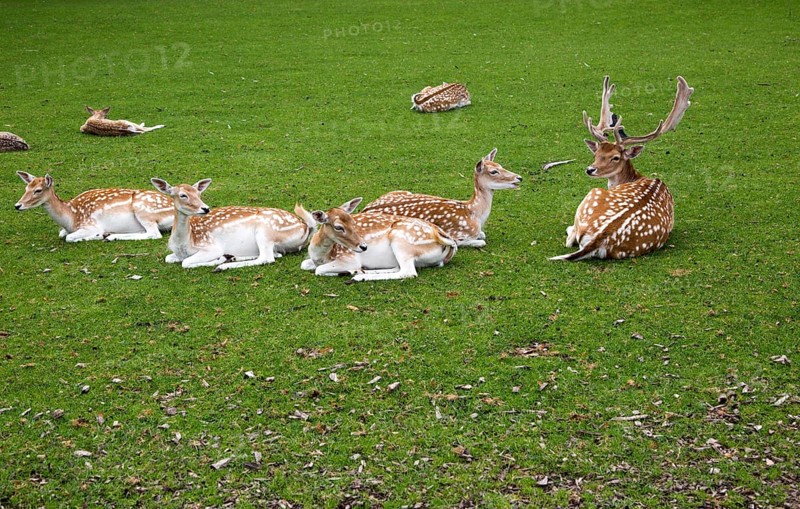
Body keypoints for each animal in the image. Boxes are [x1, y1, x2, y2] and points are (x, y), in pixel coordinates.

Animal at [14, 171, 173, 241]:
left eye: (38, 190)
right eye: (26, 188)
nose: (17, 205)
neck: (70, 218)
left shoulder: (90, 225)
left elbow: (69, 237)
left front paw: (98, 235)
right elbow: (62, 234)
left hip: (144, 210)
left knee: (154, 233)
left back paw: (109, 236)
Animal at [150, 178, 314, 271]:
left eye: (199, 194)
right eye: (183, 195)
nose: (205, 208)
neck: (184, 243)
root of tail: (307, 228)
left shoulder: (211, 247)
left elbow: (185, 262)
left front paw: (219, 260)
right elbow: (169, 258)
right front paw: (225, 257)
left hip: (266, 231)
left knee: (266, 258)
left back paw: (223, 266)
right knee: (276, 254)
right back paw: (231, 257)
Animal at [297, 198, 457, 281]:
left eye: (352, 221)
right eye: (338, 227)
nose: (363, 247)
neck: (321, 255)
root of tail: (449, 244)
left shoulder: (349, 258)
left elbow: (319, 270)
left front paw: (349, 271)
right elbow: (304, 264)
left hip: (401, 241)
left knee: (408, 272)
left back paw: (358, 276)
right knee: (398, 267)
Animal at [362, 149, 522, 247]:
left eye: (500, 165)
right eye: (494, 171)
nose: (519, 177)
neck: (475, 215)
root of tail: (364, 209)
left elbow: (482, 234)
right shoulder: (456, 234)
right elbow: (478, 241)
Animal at [550, 75, 694, 261]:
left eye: (615, 157)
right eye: (597, 153)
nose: (590, 169)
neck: (637, 176)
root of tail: (599, 239)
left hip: (593, 193)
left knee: (570, 238)